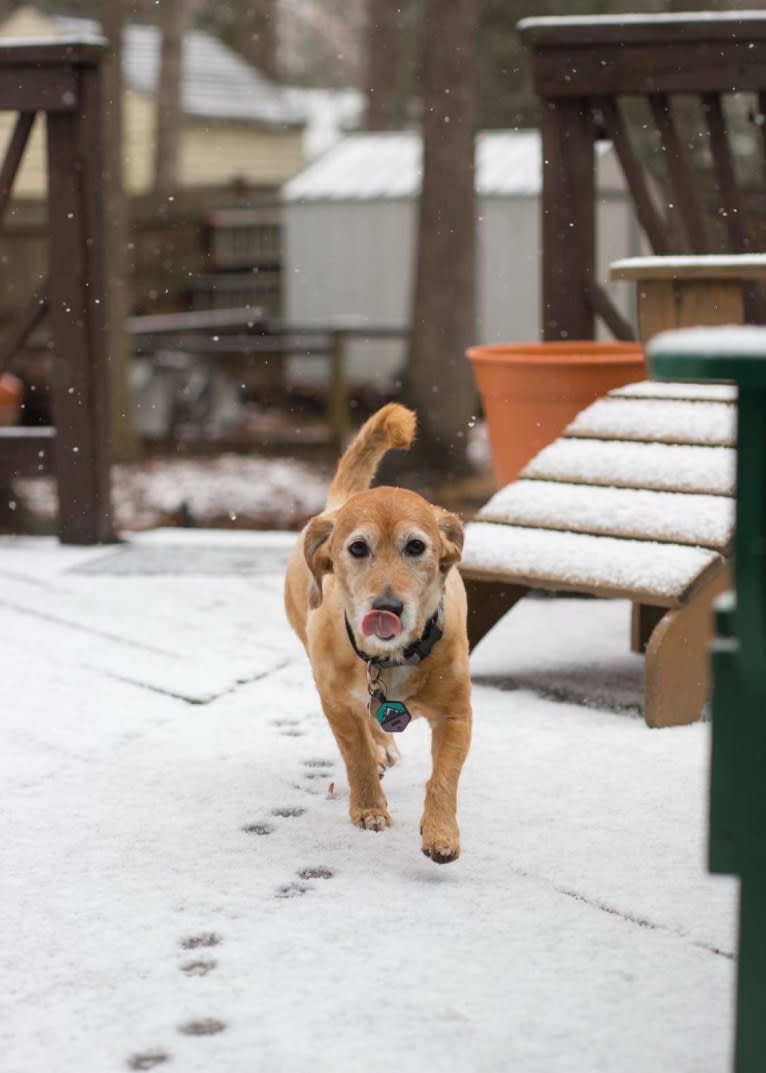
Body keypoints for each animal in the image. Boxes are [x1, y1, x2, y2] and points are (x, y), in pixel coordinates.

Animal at [283, 403, 467, 862]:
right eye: (357, 548)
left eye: (416, 546)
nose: (387, 607)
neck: (394, 657)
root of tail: (337, 504)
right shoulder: (335, 703)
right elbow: (357, 757)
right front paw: (368, 810)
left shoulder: (457, 715)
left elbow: (445, 776)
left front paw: (441, 833)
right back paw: (381, 746)